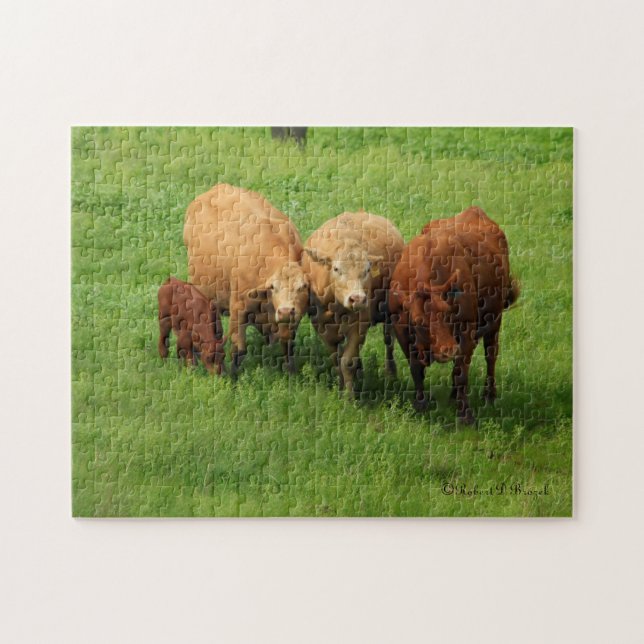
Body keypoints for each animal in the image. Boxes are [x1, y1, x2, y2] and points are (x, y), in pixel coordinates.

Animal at [183, 183, 309, 374]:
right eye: (273, 287)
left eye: (302, 287)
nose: (286, 311)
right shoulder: (238, 309)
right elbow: (239, 350)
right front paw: (233, 377)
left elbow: (287, 344)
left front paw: (291, 373)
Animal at [302, 211, 404, 397]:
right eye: (336, 269)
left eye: (367, 270)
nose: (357, 298)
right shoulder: (321, 327)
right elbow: (336, 360)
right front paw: (341, 388)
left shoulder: (359, 325)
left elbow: (347, 361)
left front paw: (349, 396)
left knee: (389, 341)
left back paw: (390, 372)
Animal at [389, 207, 519, 423]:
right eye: (418, 322)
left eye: (449, 314)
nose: (447, 350)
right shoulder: (403, 333)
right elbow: (416, 369)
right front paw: (420, 405)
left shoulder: (466, 334)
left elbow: (461, 374)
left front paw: (465, 414)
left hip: (495, 321)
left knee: (491, 355)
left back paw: (489, 395)